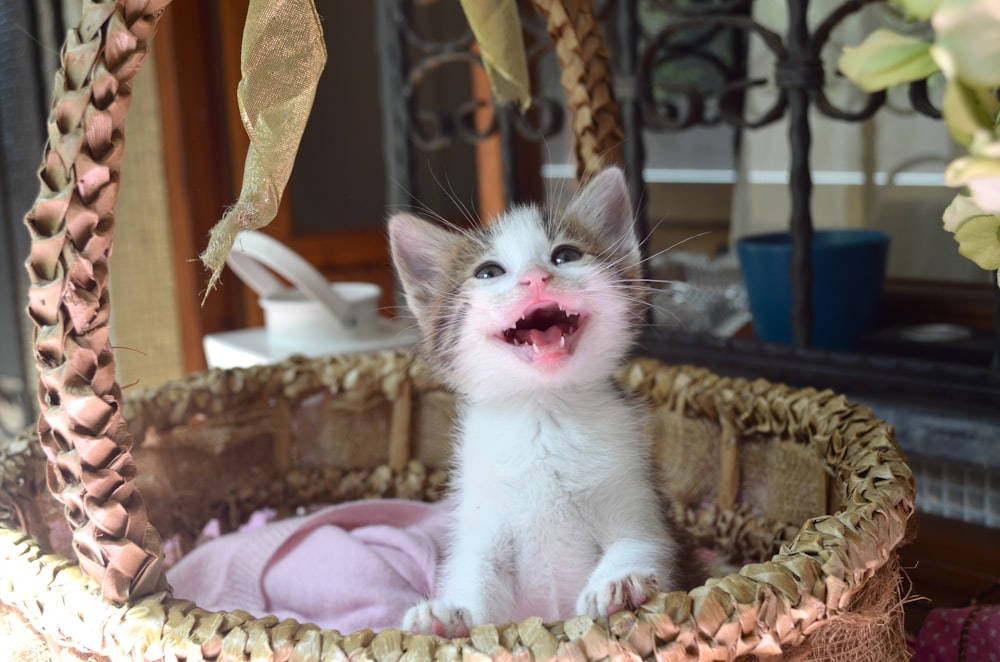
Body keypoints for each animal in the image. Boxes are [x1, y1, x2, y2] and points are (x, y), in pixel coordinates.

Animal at [386, 166, 700, 640]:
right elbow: (477, 574)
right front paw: (449, 613)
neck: (543, 414)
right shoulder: (485, 524)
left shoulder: (638, 498)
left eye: (565, 255)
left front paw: (618, 582)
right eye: (488, 271)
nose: (536, 278)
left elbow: (641, 542)